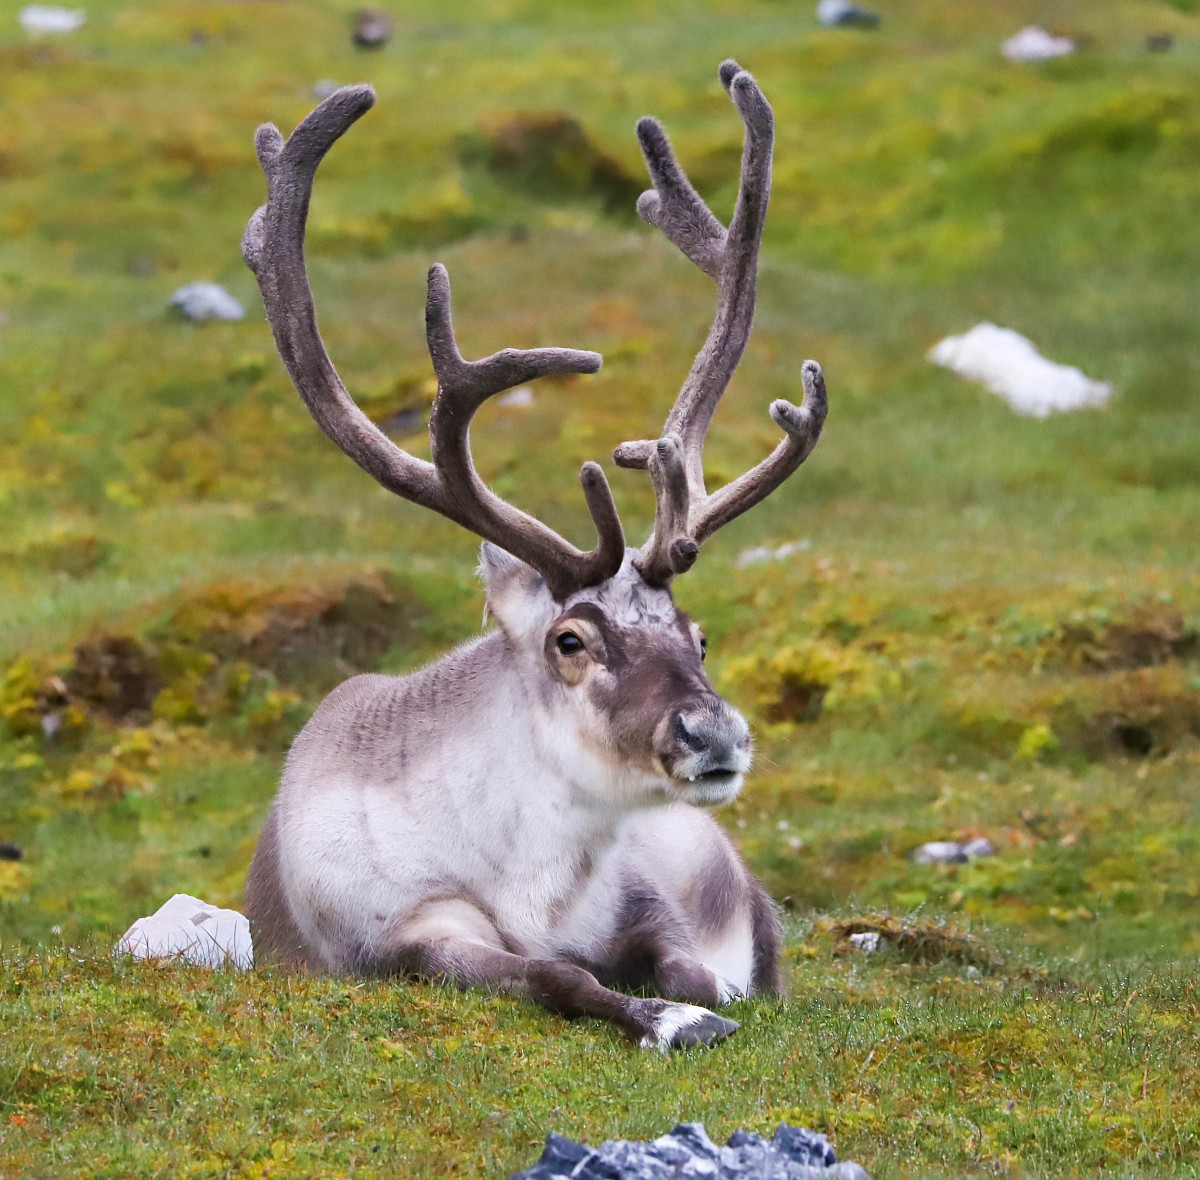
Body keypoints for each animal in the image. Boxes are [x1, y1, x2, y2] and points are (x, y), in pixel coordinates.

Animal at [240, 60, 827, 1051]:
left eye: (698, 636)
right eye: (571, 640)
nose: (714, 734)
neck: (534, 882)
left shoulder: (635, 893)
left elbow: (688, 962)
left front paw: (698, 996)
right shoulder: (413, 934)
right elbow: (558, 976)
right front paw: (667, 1018)